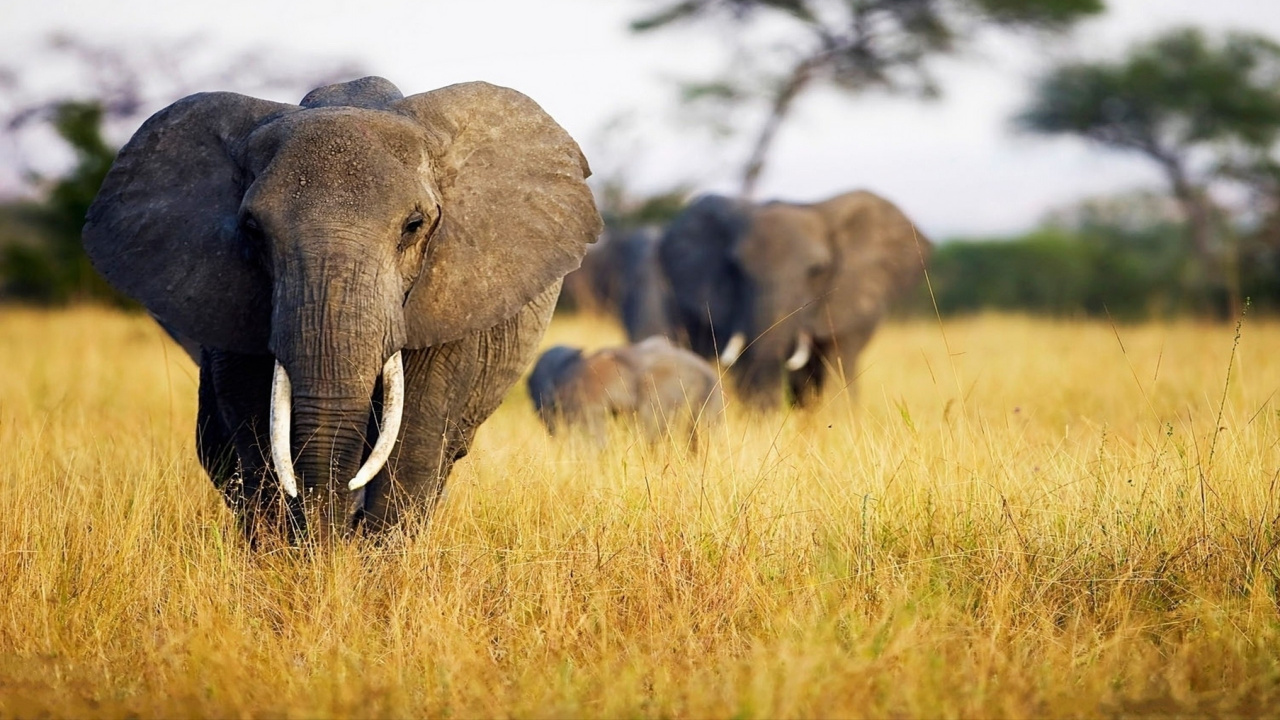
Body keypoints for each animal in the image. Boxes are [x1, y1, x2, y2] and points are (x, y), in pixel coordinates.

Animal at [82, 76, 602, 538]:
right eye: (252, 230)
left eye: (414, 226)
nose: (331, 541)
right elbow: (255, 430)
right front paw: (291, 565)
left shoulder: (454, 293)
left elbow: (414, 442)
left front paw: (370, 573)